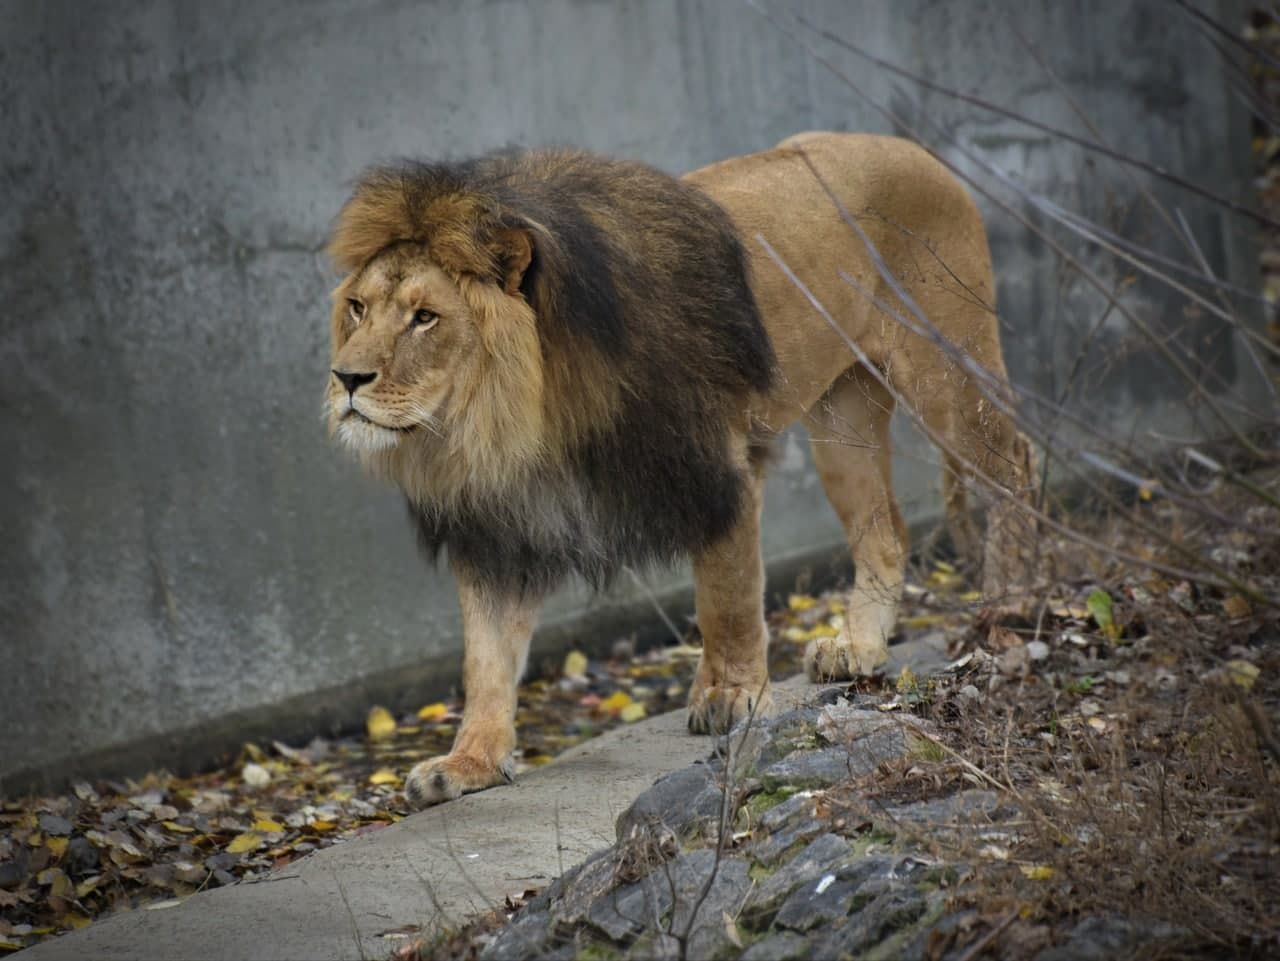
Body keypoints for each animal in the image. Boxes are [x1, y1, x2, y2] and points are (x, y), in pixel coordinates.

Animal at [325, 131, 1034, 808]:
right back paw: (858, 646)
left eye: (425, 317)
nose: (346, 378)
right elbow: (486, 656)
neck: (514, 420)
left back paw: (1010, 602)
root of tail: (917, 151)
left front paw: (729, 696)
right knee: (886, 531)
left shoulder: (714, 469)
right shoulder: (499, 524)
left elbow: (728, 597)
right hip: (843, 418)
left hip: (947, 375)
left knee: (1016, 467)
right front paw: (468, 763)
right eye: (358, 308)